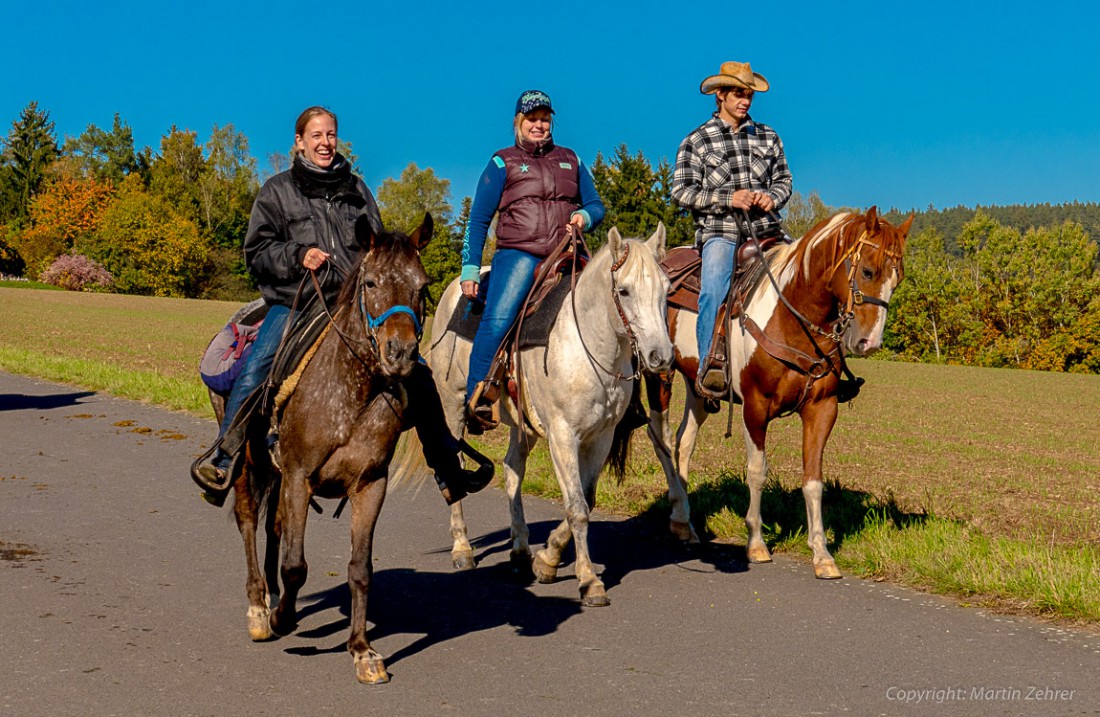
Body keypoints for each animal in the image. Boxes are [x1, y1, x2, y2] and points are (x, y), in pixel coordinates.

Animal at [212, 215, 435, 686]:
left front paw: (362, 651)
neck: (351, 391)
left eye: (422, 286)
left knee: (275, 526)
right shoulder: (300, 477)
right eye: (370, 282)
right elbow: (296, 565)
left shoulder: (369, 484)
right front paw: (281, 619)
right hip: (247, 463)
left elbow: (360, 569)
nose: (401, 353)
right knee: (248, 521)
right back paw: (260, 606)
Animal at [426, 226, 668, 607]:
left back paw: (520, 551)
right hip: (451, 407)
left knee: (512, 470)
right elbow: (577, 507)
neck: (590, 345)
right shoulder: (562, 435)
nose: (661, 356)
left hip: (522, 426)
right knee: (454, 468)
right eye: (625, 291)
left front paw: (547, 559)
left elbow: (586, 499)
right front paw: (589, 581)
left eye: (666, 289)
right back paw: (462, 548)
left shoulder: (602, 437)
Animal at [642, 205, 910, 576]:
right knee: (663, 439)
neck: (792, 318)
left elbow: (813, 481)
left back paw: (684, 522)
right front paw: (756, 543)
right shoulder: (754, 407)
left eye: (897, 280)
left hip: (697, 387)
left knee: (684, 442)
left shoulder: (822, 408)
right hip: (660, 375)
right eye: (868, 271)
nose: (869, 343)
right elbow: (757, 472)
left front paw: (822, 553)